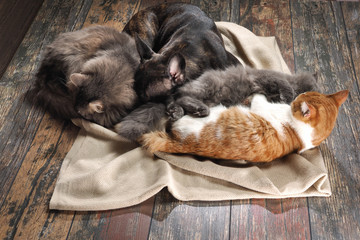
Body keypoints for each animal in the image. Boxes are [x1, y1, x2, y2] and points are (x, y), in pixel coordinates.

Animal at [141, 90, 348, 163]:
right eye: (300, 95)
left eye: (297, 101)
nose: (294, 98)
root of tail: (179, 143)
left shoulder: (259, 106)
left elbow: (258, 97)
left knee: (179, 106)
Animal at [166, 64, 318, 121]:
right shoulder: (269, 77)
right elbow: (285, 85)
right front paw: (287, 96)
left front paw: (281, 99)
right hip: (208, 87)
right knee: (183, 95)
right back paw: (198, 109)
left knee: (177, 101)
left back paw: (177, 112)